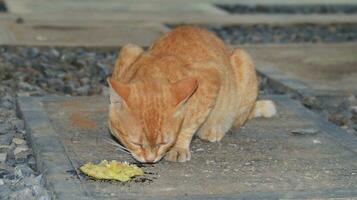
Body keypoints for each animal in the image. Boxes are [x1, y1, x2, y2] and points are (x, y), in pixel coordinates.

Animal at [107, 25, 274, 163]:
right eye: (136, 143)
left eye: (163, 143)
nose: (150, 160)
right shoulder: (128, 50)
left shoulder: (211, 77)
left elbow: (189, 123)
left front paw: (178, 147)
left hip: (243, 59)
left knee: (235, 121)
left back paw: (213, 129)